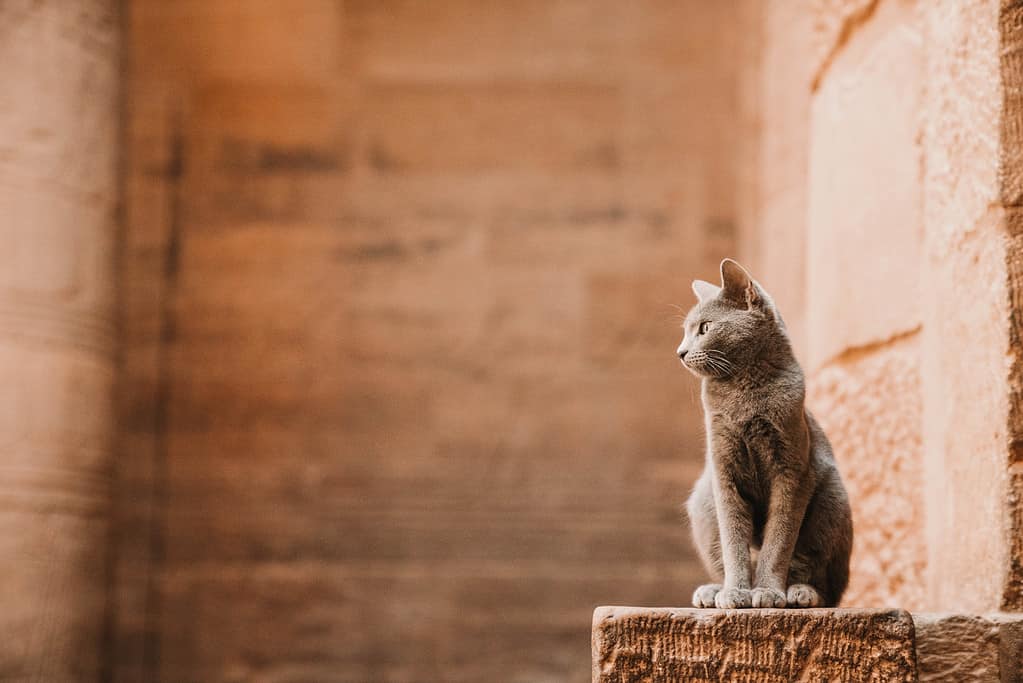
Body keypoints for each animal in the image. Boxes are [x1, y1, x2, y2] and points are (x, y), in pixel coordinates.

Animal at [675, 257, 851, 609]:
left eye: (705, 328)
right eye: (686, 331)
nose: (681, 352)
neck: (744, 390)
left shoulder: (793, 471)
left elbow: (779, 540)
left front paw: (768, 592)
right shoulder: (723, 470)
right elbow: (733, 540)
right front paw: (734, 593)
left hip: (832, 499)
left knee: (824, 581)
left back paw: (800, 592)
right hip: (702, 501)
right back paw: (712, 591)